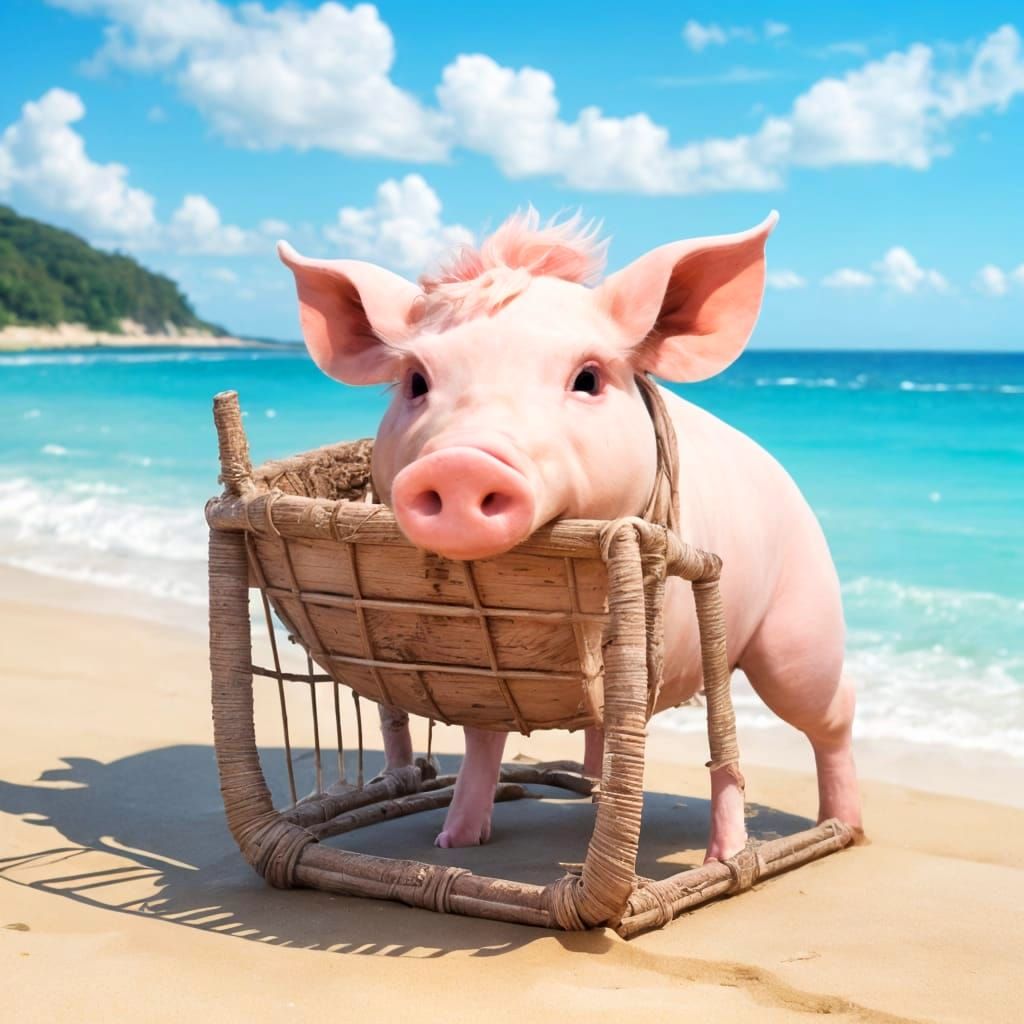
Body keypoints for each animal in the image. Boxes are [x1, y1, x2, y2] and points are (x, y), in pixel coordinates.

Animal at [278, 209, 862, 862]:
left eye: (587, 378)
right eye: (415, 381)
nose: (460, 463)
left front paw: (721, 859)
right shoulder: (483, 665)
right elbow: (483, 740)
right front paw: (451, 844)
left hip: (798, 630)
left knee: (830, 711)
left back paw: (838, 828)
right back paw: (591, 788)